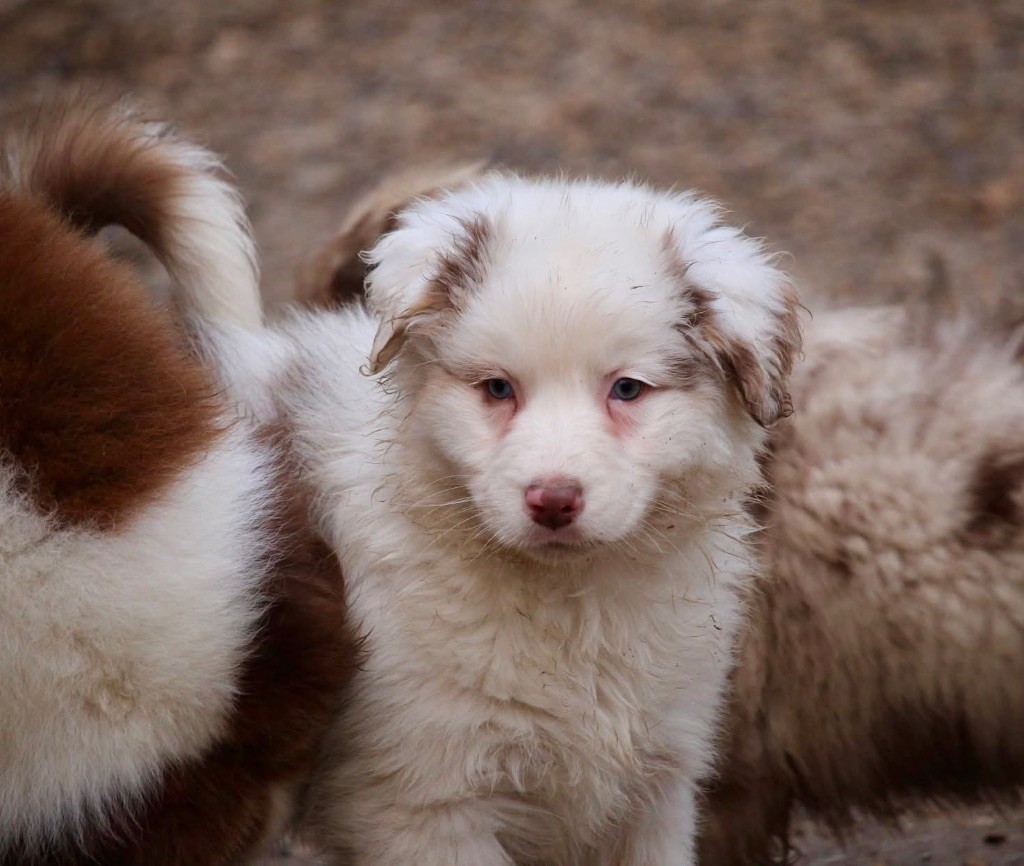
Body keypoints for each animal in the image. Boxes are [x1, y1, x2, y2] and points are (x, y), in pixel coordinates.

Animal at [193, 172, 798, 863]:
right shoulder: (426, 805)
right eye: (497, 388)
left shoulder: (657, 788)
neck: (570, 609)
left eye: (627, 389)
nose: (553, 500)